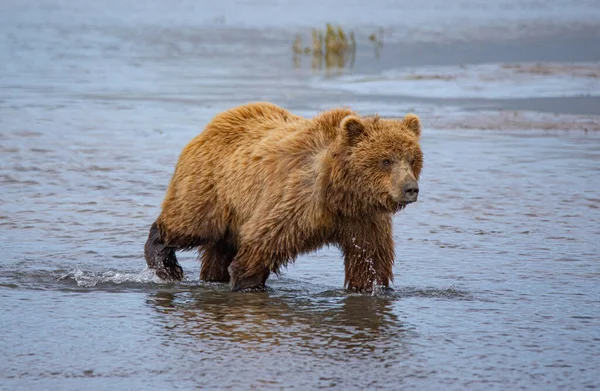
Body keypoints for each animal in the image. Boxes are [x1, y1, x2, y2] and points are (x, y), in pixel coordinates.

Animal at [145, 102, 422, 292]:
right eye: (386, 160)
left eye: (412, 158)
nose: (411, 188)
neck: (339, 193)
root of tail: (215, 122)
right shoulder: (296, 201)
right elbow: (263, 243)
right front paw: (247, 282)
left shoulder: (364, 219)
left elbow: (369, 261)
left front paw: (372, 287)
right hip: (211, 188)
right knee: (189, 223)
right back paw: (166, 265)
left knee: (218, 250)